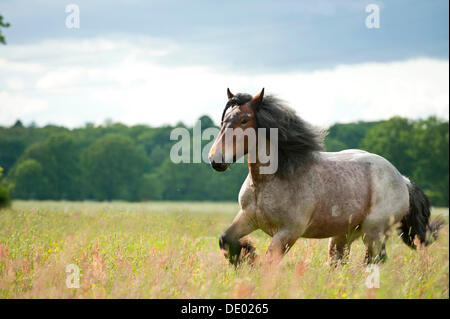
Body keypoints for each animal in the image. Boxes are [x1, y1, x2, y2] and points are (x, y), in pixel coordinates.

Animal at [208, 89, 446, 266]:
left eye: (245, 120)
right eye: (224, 120)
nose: (216, 160)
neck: (268, 181)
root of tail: (403, 180)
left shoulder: (289, 232)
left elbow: (269, 263)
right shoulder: (249, 218)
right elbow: (226, 239)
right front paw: (246, 255)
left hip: (374, 232)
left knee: (374, 260)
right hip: (344, 234)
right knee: (340, 260)